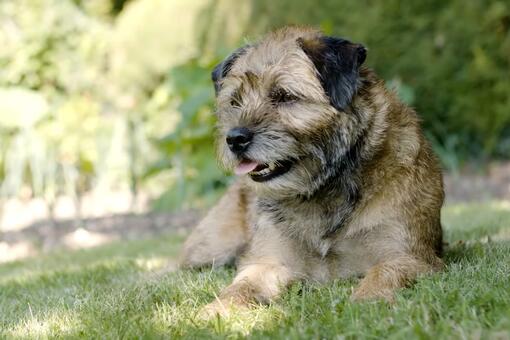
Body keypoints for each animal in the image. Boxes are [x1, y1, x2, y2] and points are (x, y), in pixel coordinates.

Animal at [179, 26, 442, 316]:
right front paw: (215, 310)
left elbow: (383, 274)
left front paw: (367, 303)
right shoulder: (267, 261)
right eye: (235, 101)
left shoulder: (408, 257)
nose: (235, 138)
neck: (323, 191)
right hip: (211, 247)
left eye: (284, 95)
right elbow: (240, 287)